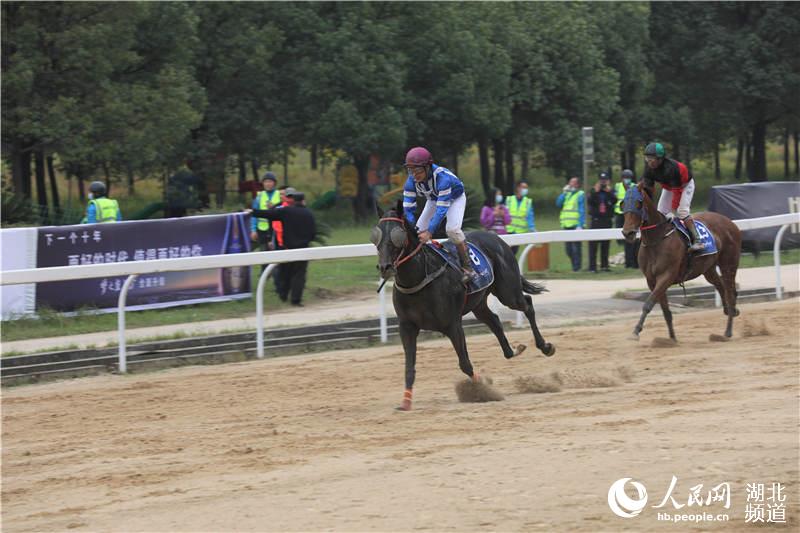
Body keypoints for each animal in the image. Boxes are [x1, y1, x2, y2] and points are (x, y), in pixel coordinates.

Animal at [372, 202, 552, 410]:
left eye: (397, 235)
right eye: (375, 236)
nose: (385, 267)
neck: (420, 278)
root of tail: (495, 236)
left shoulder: (452, 324)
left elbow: (465, 364)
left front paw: (483, 390)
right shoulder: (407, 327)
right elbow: (409, 367)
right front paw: (405, 402)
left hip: (508, 293)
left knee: (527, 304)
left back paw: (545, 346)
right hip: (479, 303)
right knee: (494, 320)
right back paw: (513, 350)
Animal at [620, 182, 744, 340]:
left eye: (639, 203)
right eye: (623, 203)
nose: (627, 233)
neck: (656, 239)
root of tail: (731, 222)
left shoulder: (666, 276)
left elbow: (648, 304)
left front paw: (636, 331)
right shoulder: (651, 280)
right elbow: (665, 311)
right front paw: (672, 339)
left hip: (729, 264)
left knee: (730, 293)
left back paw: (728, 331)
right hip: (708, 269)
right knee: (721, 287)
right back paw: (730, 311)